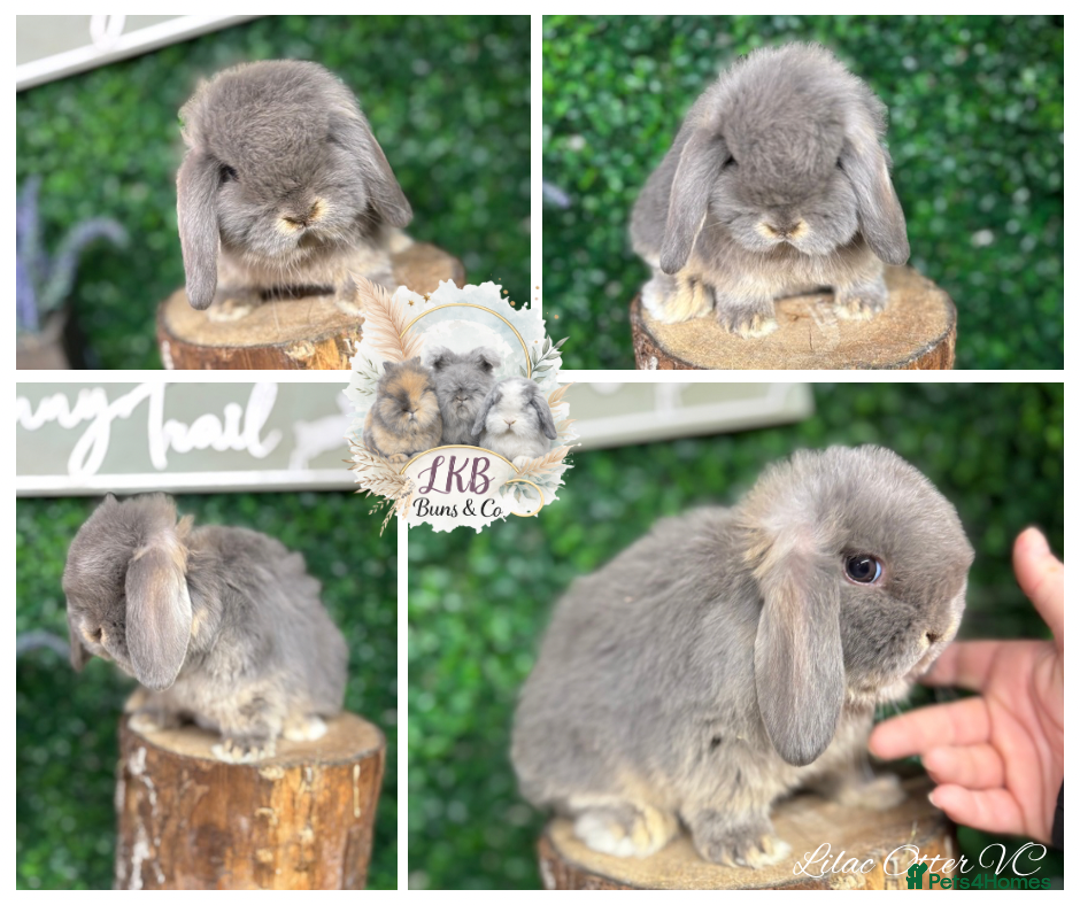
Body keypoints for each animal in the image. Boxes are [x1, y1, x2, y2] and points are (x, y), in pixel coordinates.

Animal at [62, 494, 349, 763]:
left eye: (124, 588)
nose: (91, 632)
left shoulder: (259, 683)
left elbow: (252, 713)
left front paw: (242, 749)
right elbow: (163, 702)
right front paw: (148, 719)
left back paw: (304, 727)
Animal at [177, 59, 414, 313]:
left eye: (326, 139)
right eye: (230, 172)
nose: (302, 214)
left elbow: (361, 267)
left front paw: (362, 298)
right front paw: (229, 307)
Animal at [512, 446, 973, 868]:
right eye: (862, 568)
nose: (939, 632)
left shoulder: (842, 751)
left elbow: (844, 776)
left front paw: (875, 793)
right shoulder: (713, 741)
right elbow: (726, 796)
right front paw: (750, 847)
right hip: (585, 753)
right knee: (579, 798)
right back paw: (635, 827)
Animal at [630, 43, 909, 337]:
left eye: (833, 160)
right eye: (734, 159)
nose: (784, 227)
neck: (788, 252)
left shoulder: (864, 261)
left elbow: (862, 275)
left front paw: (863, 305)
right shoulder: (735, 271)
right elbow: (742, 286)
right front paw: (748, 322)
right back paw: (678, 300)